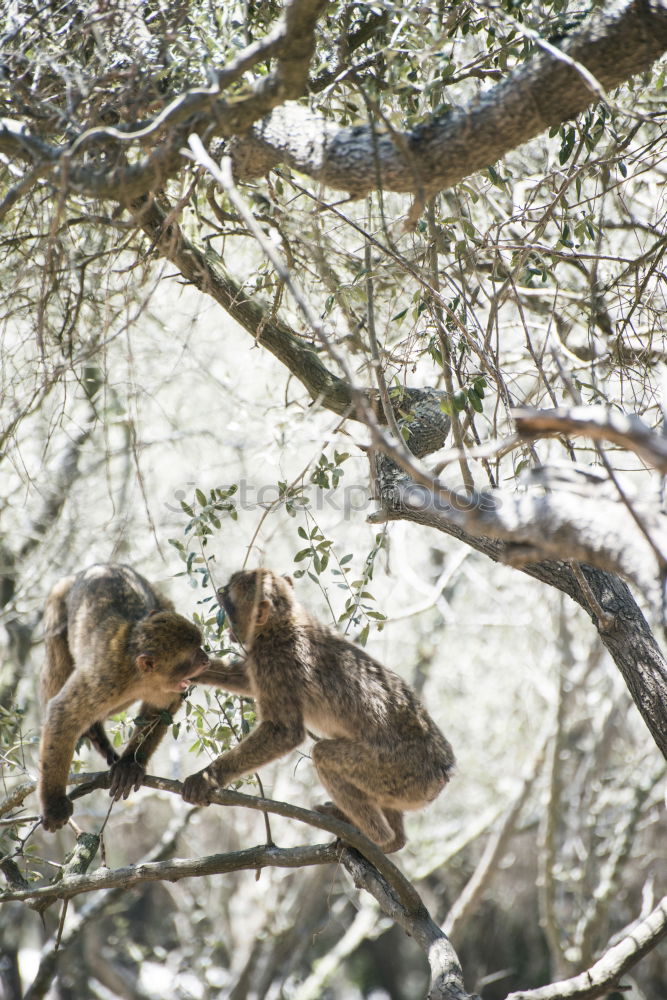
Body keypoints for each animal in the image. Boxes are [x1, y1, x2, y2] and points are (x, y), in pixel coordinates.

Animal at [39, 564, 215, 836]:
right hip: (57, 601)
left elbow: (161, 709)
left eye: (200, 646)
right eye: (191, 657)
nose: (206, 659)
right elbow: (62, 713)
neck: (139, 676)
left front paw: (129, 765)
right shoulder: (104, 677)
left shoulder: (163, 688)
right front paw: (54, 805)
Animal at [181, 572, 454, 852]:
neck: (282, 623)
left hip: (397, 772)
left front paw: (208, 777)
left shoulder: (275, 659)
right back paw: (393, 841)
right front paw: (192, 668)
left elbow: (284, 732)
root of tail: (444, 772)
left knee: (323, 754)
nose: (219, 593)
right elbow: (247, 680)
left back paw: (377, 838)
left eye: (229, 600)